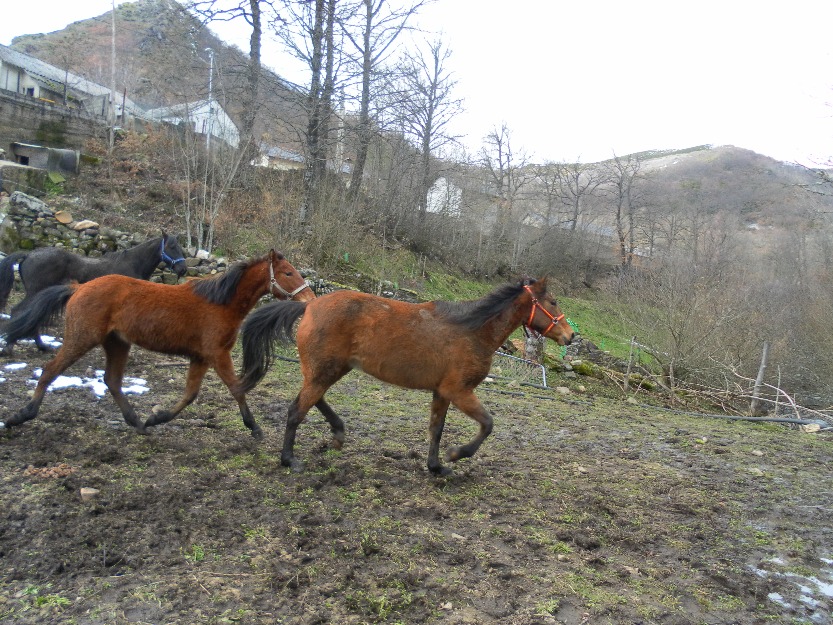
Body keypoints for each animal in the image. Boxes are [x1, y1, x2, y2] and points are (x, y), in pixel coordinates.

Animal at [0, 232, 185, 356]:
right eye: (172, 247)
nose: (183, 269)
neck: (133, 264)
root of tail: (28, 254)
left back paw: (41, 346)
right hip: (35, 292)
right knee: (19, 312)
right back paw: (10, 346)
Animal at [0, 250, 312, 438]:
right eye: (287, 273)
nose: (308, 298)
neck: (220, 302)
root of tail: (79, 287)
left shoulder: (201, 357)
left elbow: (190, 395)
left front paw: (157, 418)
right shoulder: (217, 354)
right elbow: (236, 388)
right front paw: (255, 429)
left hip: (117, 344)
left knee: (112, 381)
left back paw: (138, 423)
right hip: (81, 338)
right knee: (50, 370)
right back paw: (22, 415)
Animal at [237, 276, 576, 472]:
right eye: (553, 301)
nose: (571, 336)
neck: (472, 330)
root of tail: (309, 307)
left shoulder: (442, 392)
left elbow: (436, 429)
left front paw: (436, 466)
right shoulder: (459, 391)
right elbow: (488, 424)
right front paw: (456, 455)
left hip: (332, 369)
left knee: (313, 398)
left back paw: (336, 435)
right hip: (325, 370)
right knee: (297, 409)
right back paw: (290, 459)